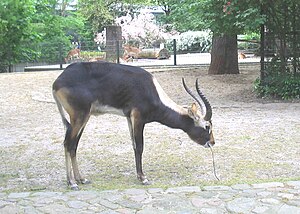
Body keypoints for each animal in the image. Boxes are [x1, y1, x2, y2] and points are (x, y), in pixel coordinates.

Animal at [52, 61, 216, 190]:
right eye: (207, 126)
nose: (212, 142)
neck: (151, 91)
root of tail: (57, 82)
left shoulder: (129, 118)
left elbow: (134, 146)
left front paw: (139, 176)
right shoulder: (138, 118)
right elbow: (140, 146)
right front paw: (143, 178)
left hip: (83, 119)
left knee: (73, 145)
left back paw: (81, 179)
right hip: (80, 117)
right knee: (68, 143)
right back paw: (72, 183)